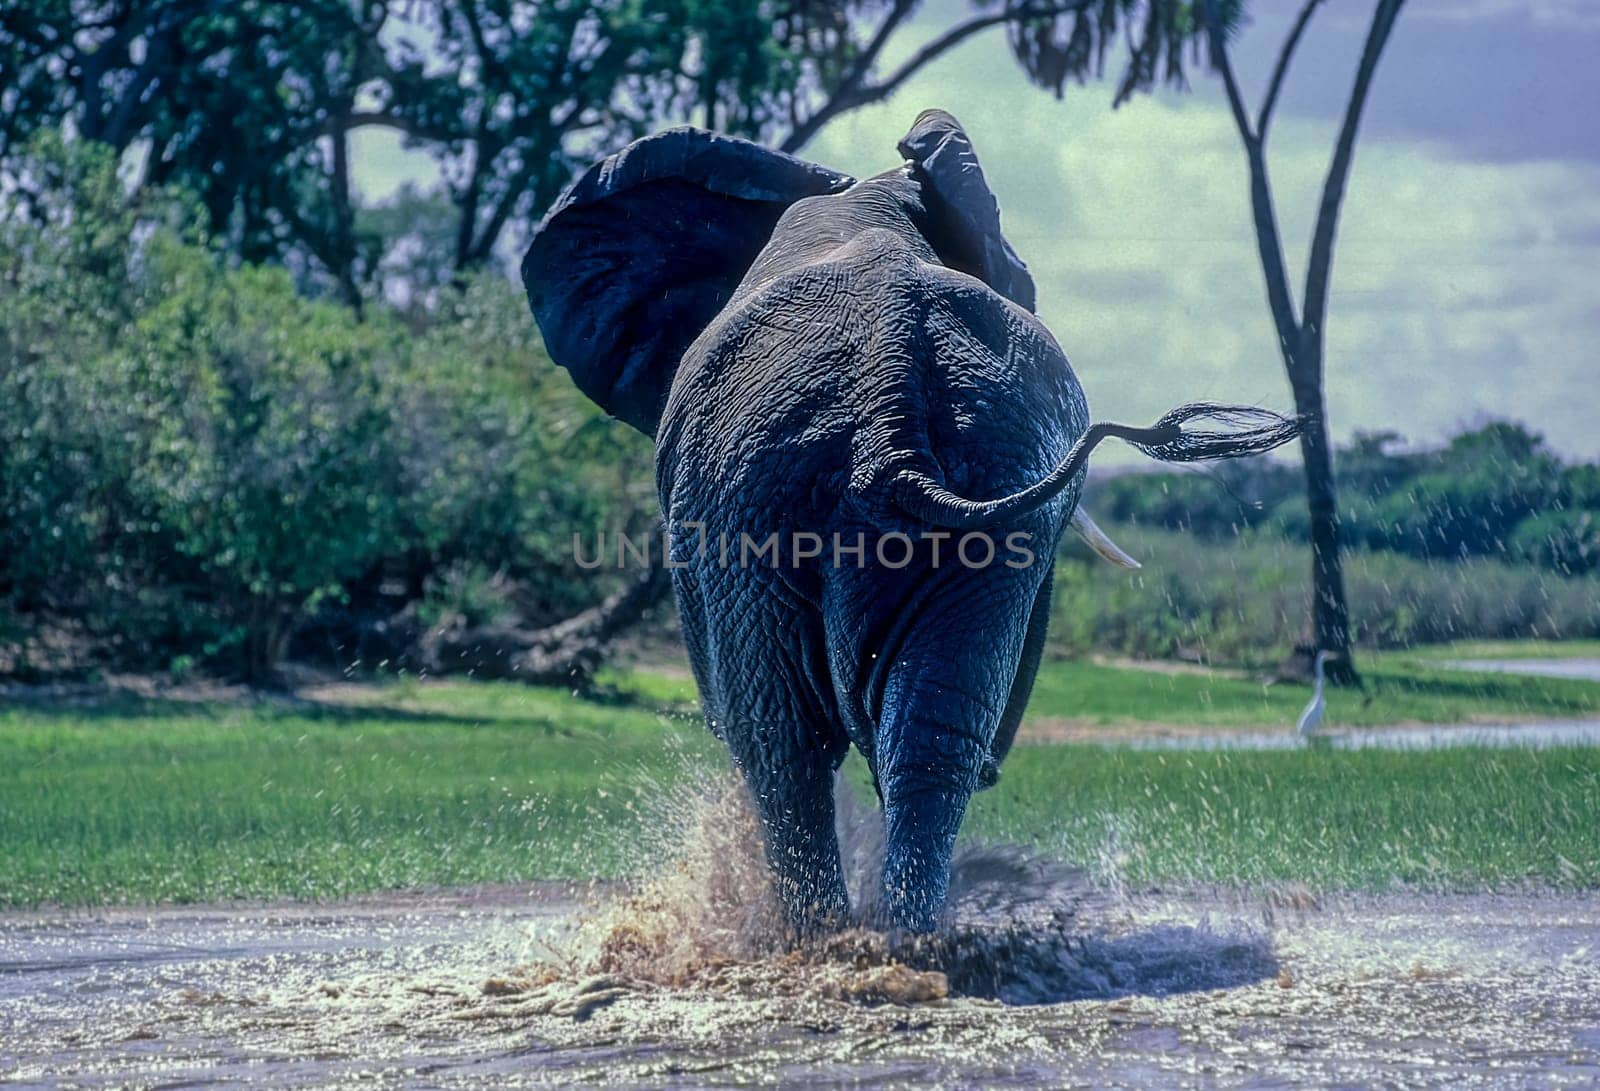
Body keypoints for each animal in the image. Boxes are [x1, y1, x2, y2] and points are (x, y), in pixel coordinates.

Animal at [524, 107, 1299, 927]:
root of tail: (884, 407)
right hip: (899, 484)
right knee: (916, 732)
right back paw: (894, 939)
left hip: (767, 497)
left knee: (791, 740)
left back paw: (833, 940)